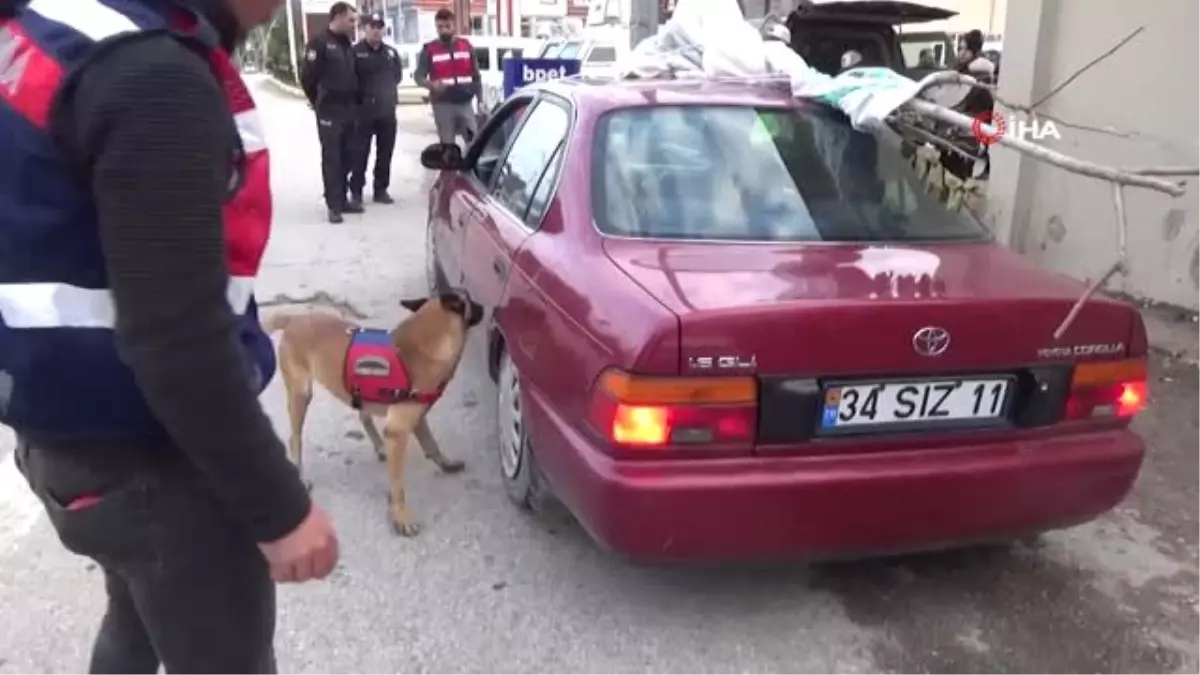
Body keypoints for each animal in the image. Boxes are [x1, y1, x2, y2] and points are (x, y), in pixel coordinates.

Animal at [266, 290, 482, 535]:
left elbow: (432, 445)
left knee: (363, 416)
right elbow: (398, 485)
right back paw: (302, 475)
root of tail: (294, 319)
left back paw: (380, 447)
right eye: (470, 300)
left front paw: (446, 464)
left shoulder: (418, 419)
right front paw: (401, 516)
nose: (485, 307)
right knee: (295, 438)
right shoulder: (398, 431)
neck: (427, 344)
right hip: (301, 394)